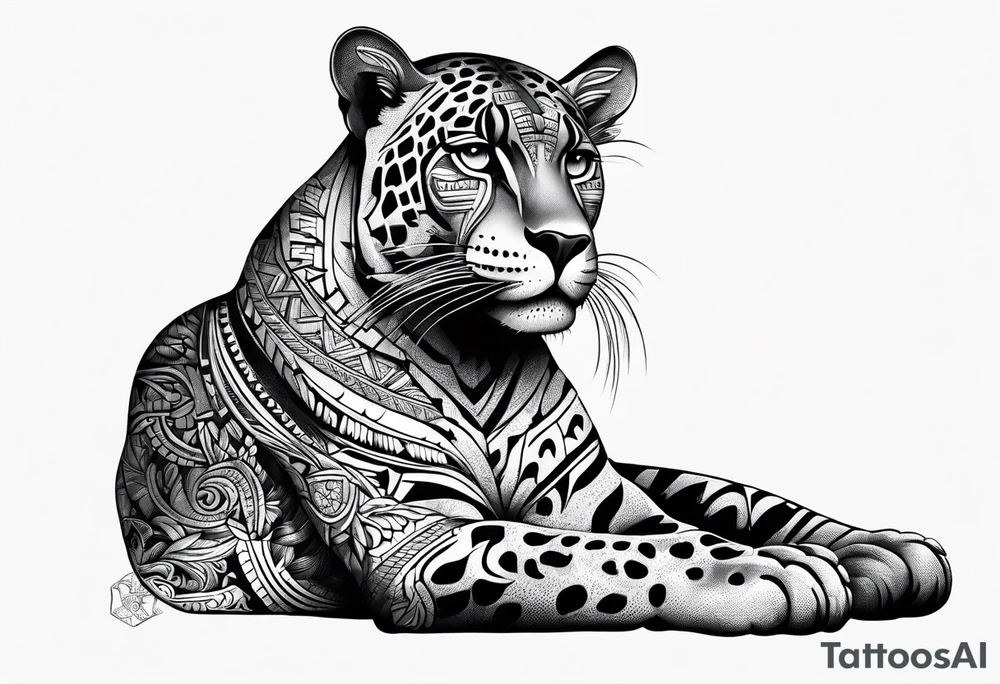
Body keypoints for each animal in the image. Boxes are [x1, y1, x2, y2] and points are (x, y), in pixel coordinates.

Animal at [115, 27, 951, 634]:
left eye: (579, 160)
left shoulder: (591, 494)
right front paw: (764, 573)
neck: (474, 356)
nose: (563, 242)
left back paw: (887, 550)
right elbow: (619, 559)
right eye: (475, 154)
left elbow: (655, 535)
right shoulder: (415, 536)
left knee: (742, 498)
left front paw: (779, 559)